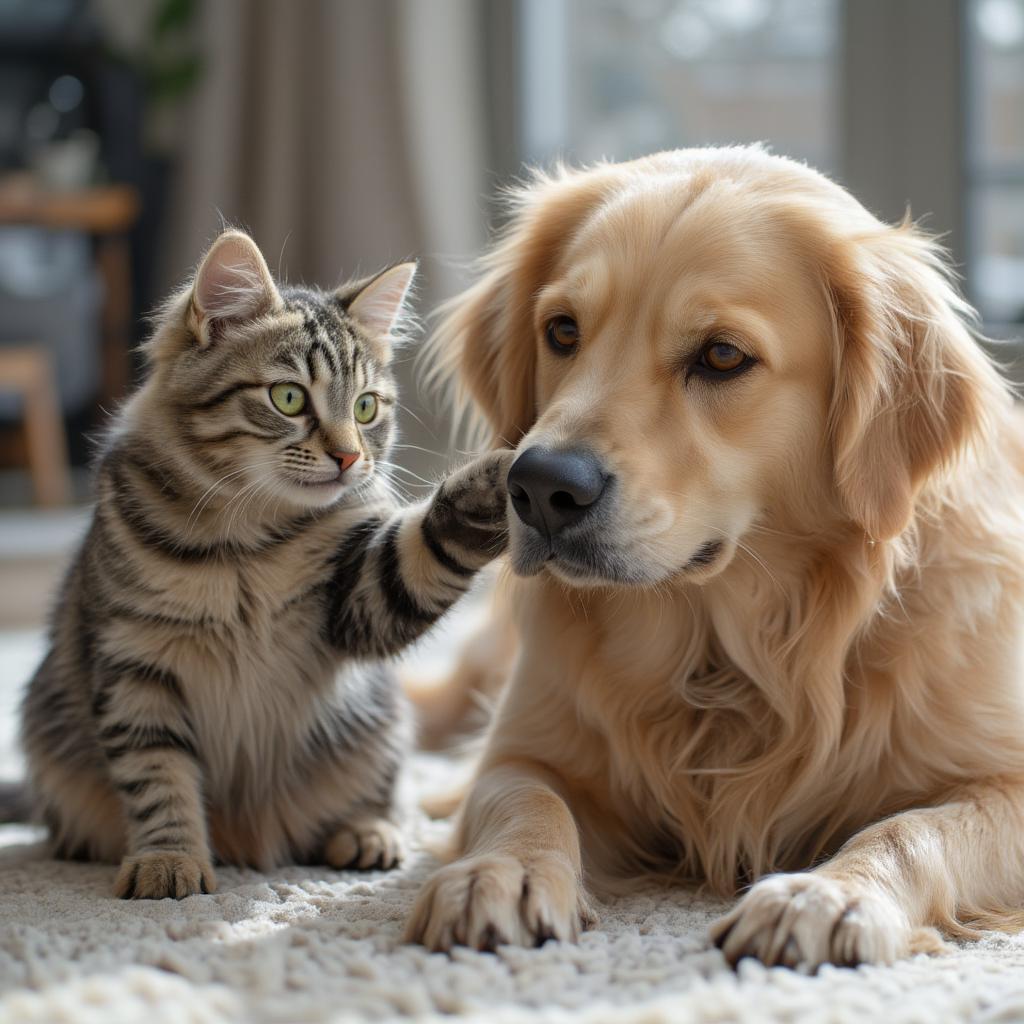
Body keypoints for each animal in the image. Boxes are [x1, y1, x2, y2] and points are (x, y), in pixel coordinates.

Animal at [14, 230, 509, 897]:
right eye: (289, 397)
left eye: (366, 408)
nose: (350, 458)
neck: (247, 543)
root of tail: (248, 843)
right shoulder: (134, 662)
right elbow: (158, 779)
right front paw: (169, 860)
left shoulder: (357, 605)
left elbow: (424, 550)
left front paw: (498, 480)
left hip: (378, 728)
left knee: (380, 797)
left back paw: (367, 834)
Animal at [403, 146, 1024, 966]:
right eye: (562, 330)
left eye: (723, 355)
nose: (537, 487)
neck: (729, 651)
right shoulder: (526, 746)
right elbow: (524, 799)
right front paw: (500, 871)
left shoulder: (1003, 776)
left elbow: (910, 828)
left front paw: (828, 893)